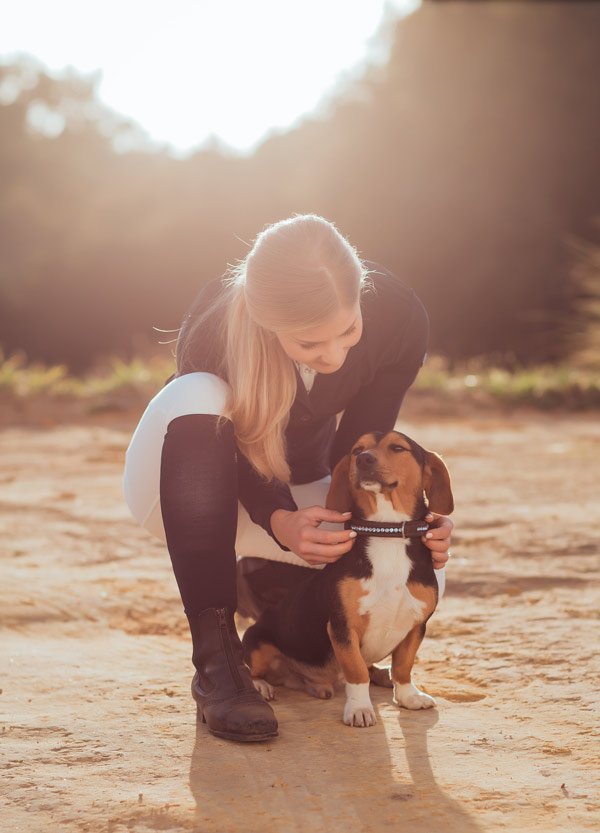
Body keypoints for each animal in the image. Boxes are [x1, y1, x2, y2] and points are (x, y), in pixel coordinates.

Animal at [241, 432, 452, 724]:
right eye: (356, 450)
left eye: (398, 447)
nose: (364, 459)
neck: (387, 532)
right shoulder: (343, 626)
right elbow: (356, 671)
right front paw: (360, 708)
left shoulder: (416, 624)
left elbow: (403, 666)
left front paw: (408, 696)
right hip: (257, 641)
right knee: (251, 670)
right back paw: (262, 686)